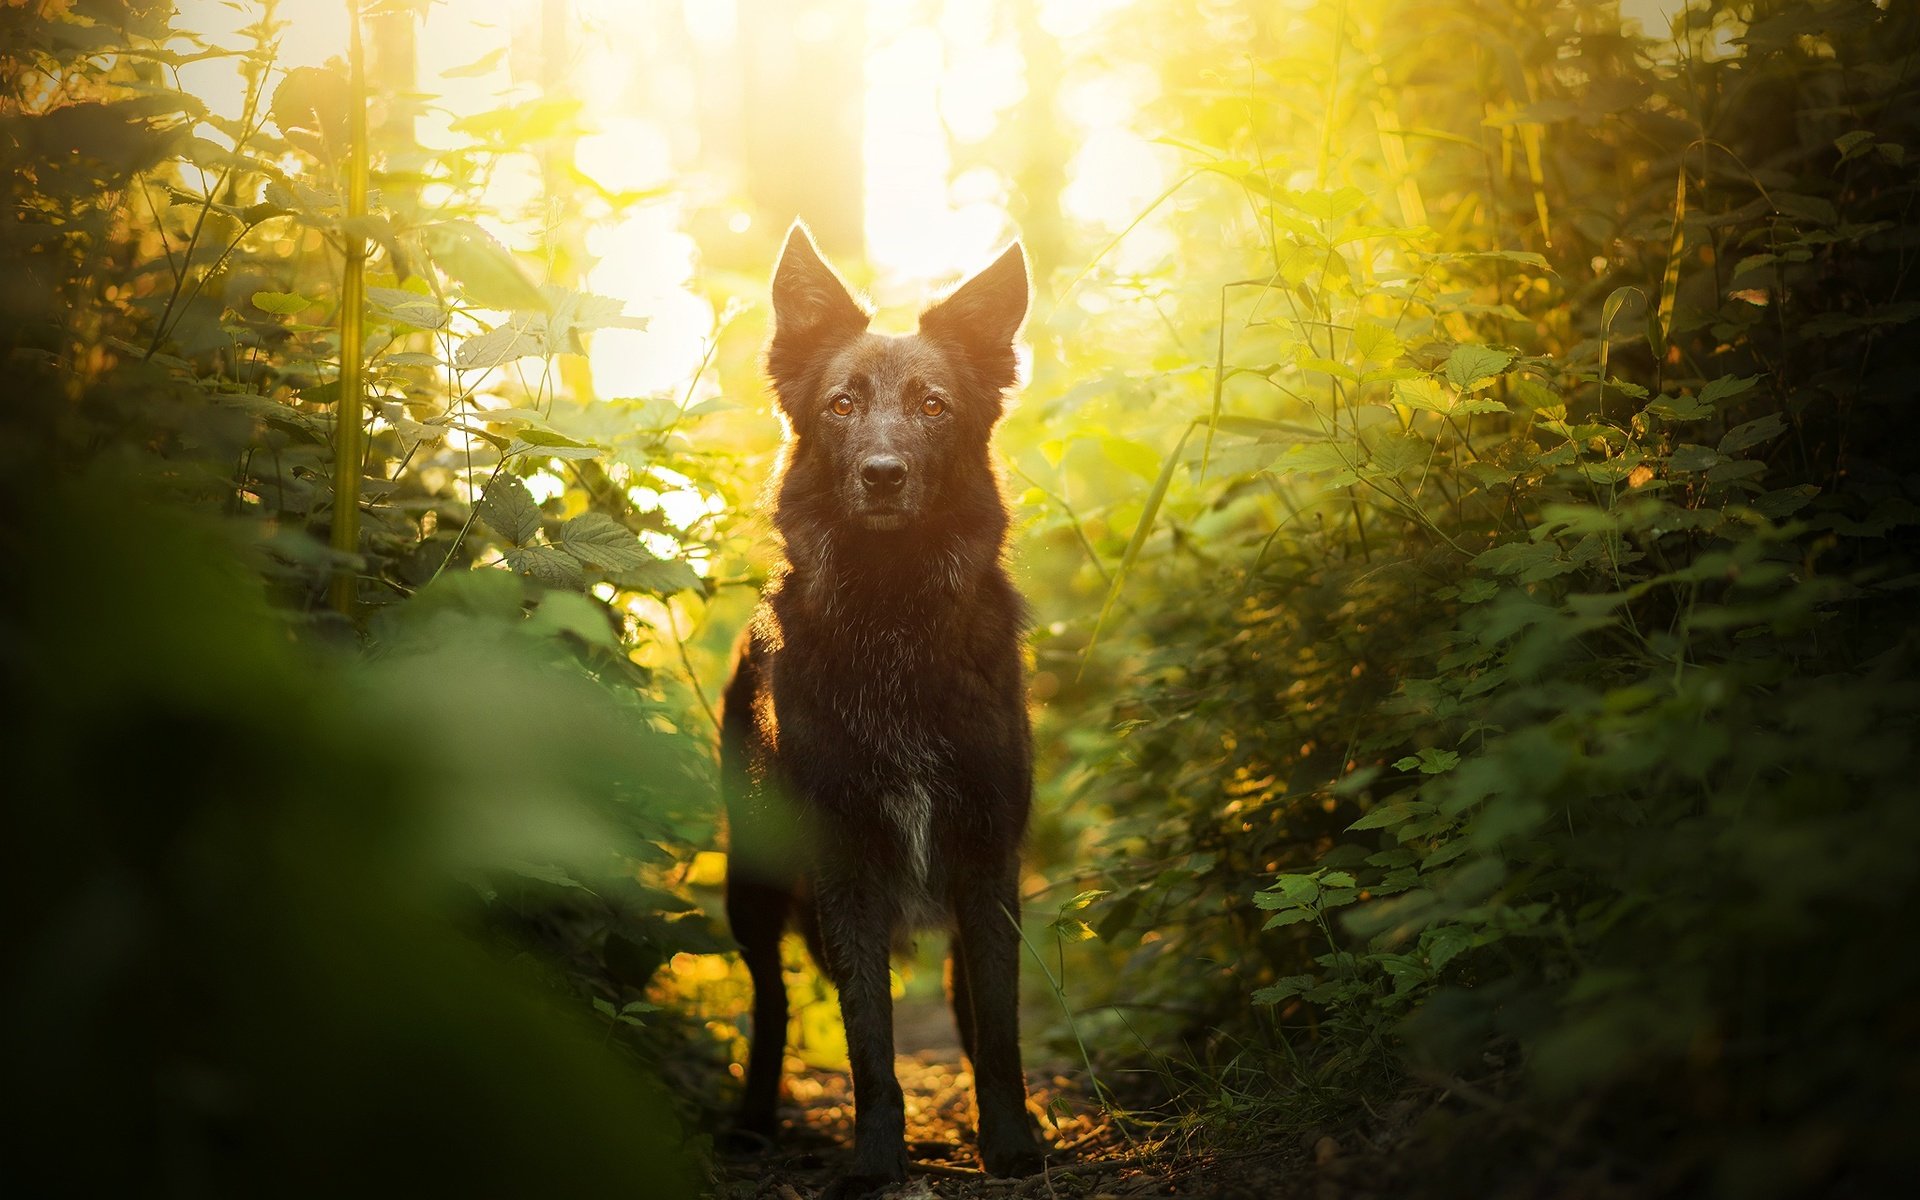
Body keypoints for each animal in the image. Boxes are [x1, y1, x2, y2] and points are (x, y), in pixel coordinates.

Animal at [721, 222, 1052, 1190]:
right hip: (751, 886)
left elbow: (1001, 1025)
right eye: (841, 405)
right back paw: (752, 1122)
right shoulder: (843, 864)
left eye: (934, 407)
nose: (881, 474)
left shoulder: (987, 859)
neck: (893, 615)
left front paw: (1011, 1144)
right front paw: (874, 1159)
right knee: (772, 1002)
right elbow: (868, 1037)